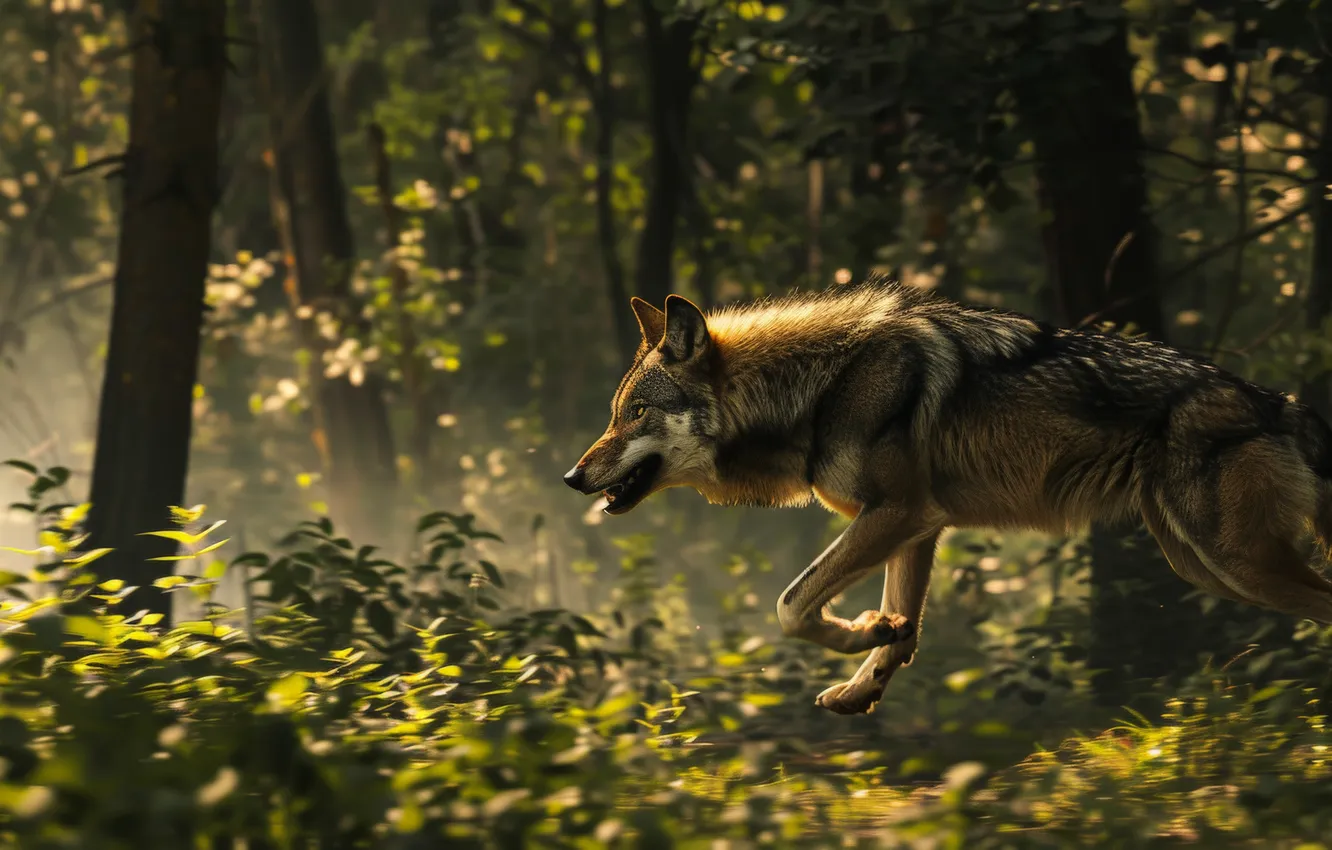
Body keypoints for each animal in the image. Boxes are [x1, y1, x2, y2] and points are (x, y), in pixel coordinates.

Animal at [562, 277, 1332, 715]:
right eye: (616, 413)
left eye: (635, 414)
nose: (571, 477)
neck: (822, 389)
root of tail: (1282, 404)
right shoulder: (920, 525)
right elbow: (905, 628)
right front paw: (869, 667)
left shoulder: (898, 513)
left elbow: (790, 604)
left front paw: (862, 630)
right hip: (1199, 563)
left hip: (1232, 563)